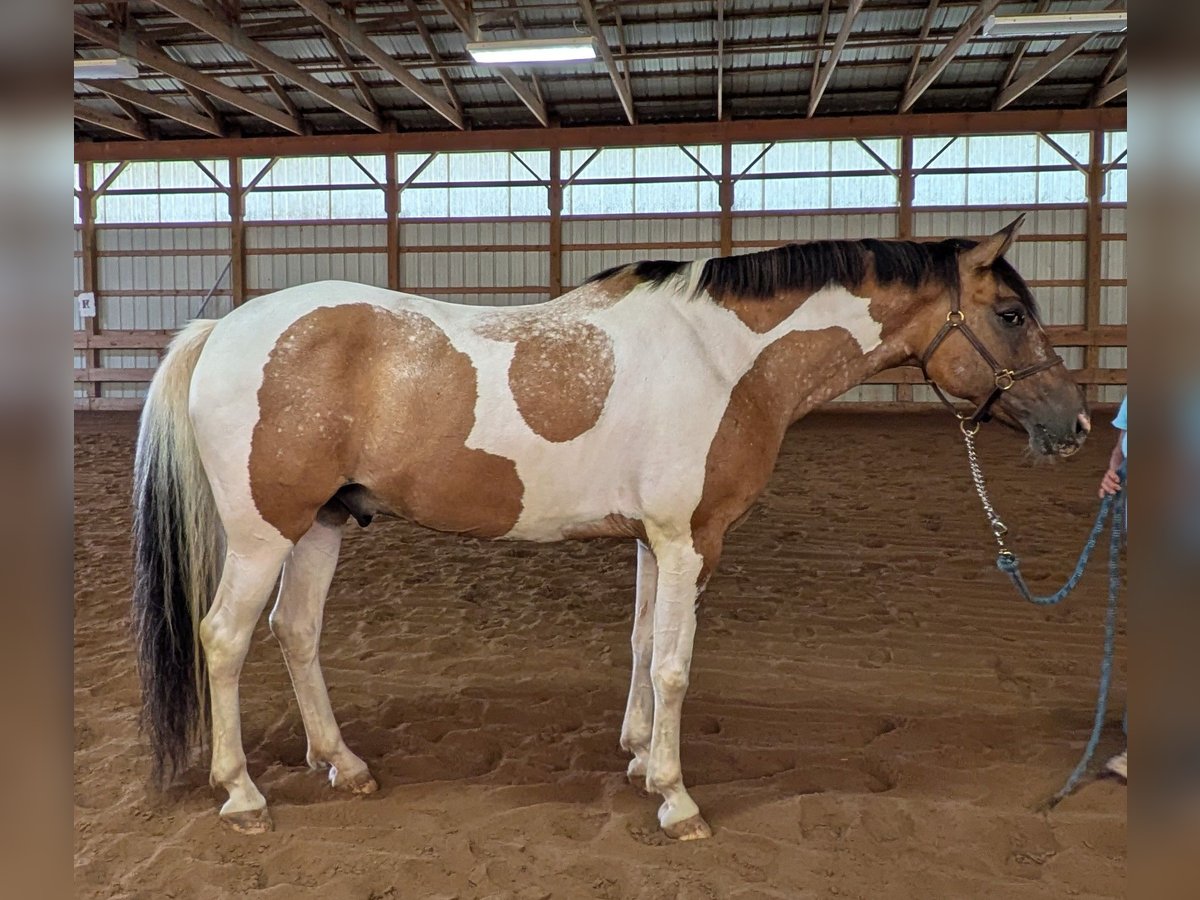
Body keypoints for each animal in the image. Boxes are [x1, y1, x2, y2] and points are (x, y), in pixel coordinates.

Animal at [131, 215, 1090, 840]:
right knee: (225, 638)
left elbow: (638, 644)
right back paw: (243, 796)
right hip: (265, 534)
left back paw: (346, 765)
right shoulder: (689, 539)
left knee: (296, 633)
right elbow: (673, 666)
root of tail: (223, 328)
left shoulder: (652, 540)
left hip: (324, 524)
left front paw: (634, 758)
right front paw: (675, 797)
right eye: (1011, 315)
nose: (1075, 423)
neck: (727, 360)